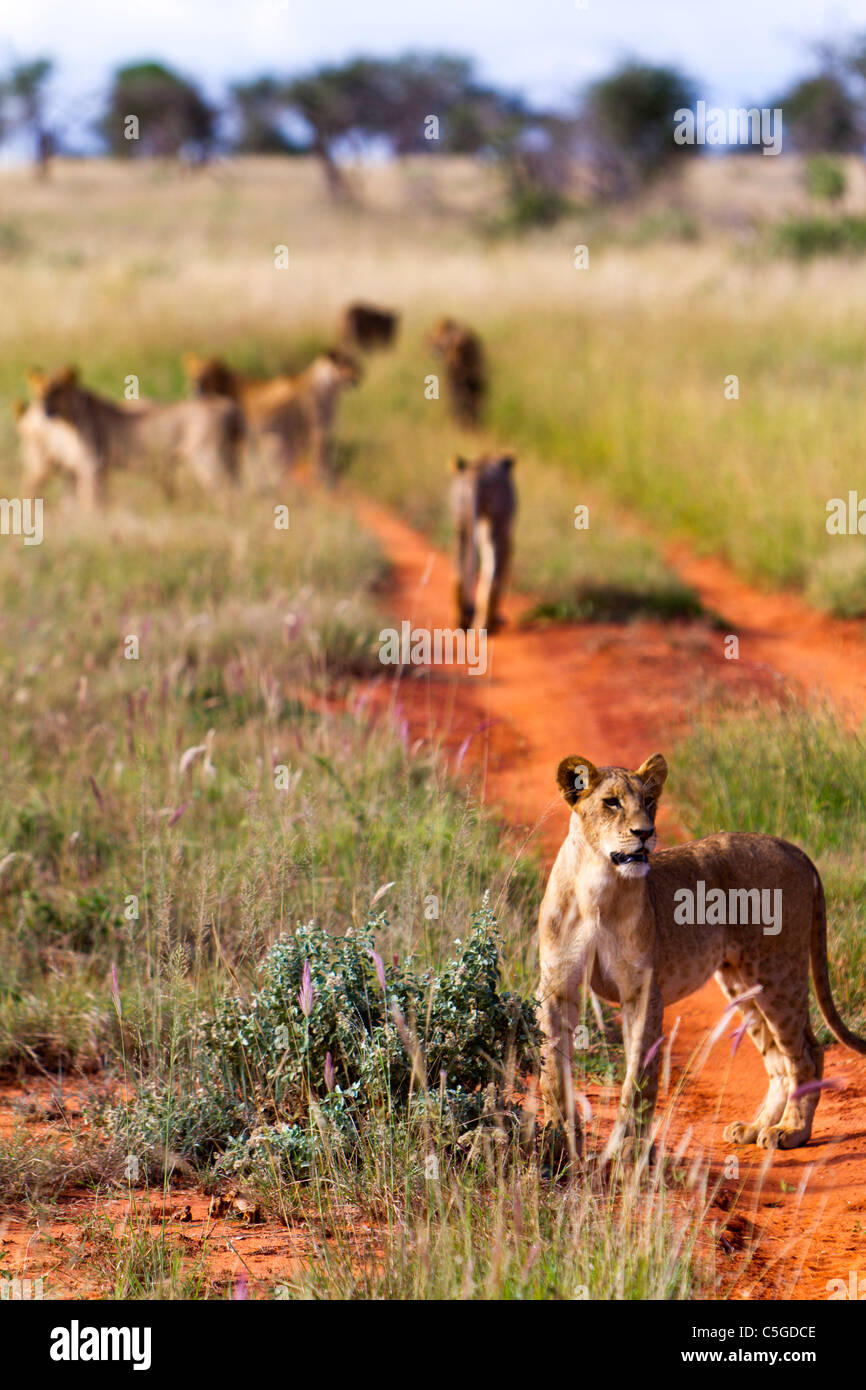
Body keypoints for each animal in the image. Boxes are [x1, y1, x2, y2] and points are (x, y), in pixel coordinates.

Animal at [27, 367, 243, 500]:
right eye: (38, 390)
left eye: (57, 390)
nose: (42, 407)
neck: (66, 422)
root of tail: (230, 408)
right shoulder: (80, 470)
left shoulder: (93, 467)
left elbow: (92, 504)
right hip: (230, 458)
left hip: (209, 459)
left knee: (228, 494)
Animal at [450, 454, 516, 631]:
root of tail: (477, 475)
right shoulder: (504, 533)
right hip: (495, 528)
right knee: (492, 578)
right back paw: (486, 625)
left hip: (462, 521)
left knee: (460, 572)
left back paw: (462, 620)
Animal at [537, 753, 866, 1166]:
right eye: (610, 802)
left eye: (649, 801)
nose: (645, 833)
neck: (596, 884)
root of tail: (793, 849)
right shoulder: (556, 986)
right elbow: (552, 1068)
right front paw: (557, 1142)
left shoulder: (642, 990)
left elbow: (639, 1075)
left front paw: (631, 1149)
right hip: (743, 980)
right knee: (777, 1059)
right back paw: (756, 1127)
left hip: (777, 970)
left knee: (807, 1051)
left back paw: (790, 1131)